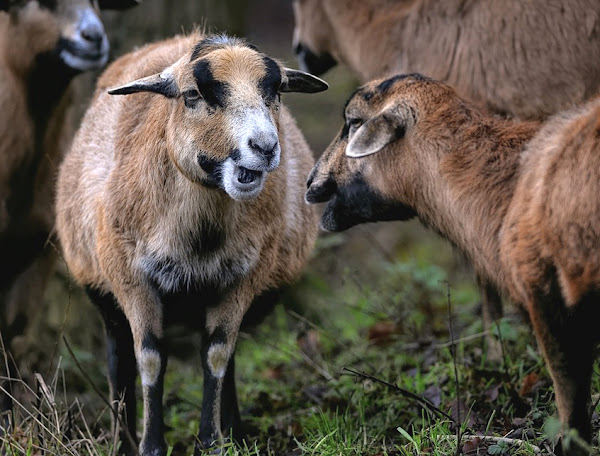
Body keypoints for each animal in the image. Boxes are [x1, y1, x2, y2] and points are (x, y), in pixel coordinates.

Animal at [55, 33, 328, 456]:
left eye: (276, 91)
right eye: (192, 95)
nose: (265, 147)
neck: (198, 239)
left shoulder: (242, 279)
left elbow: (216, 356)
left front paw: (213, 442)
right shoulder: (132, 279)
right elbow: (150, 359)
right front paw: (151, 445)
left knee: (224, 354)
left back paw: (234, 432)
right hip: (101, 289)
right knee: (119, 356)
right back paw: (122, 439)